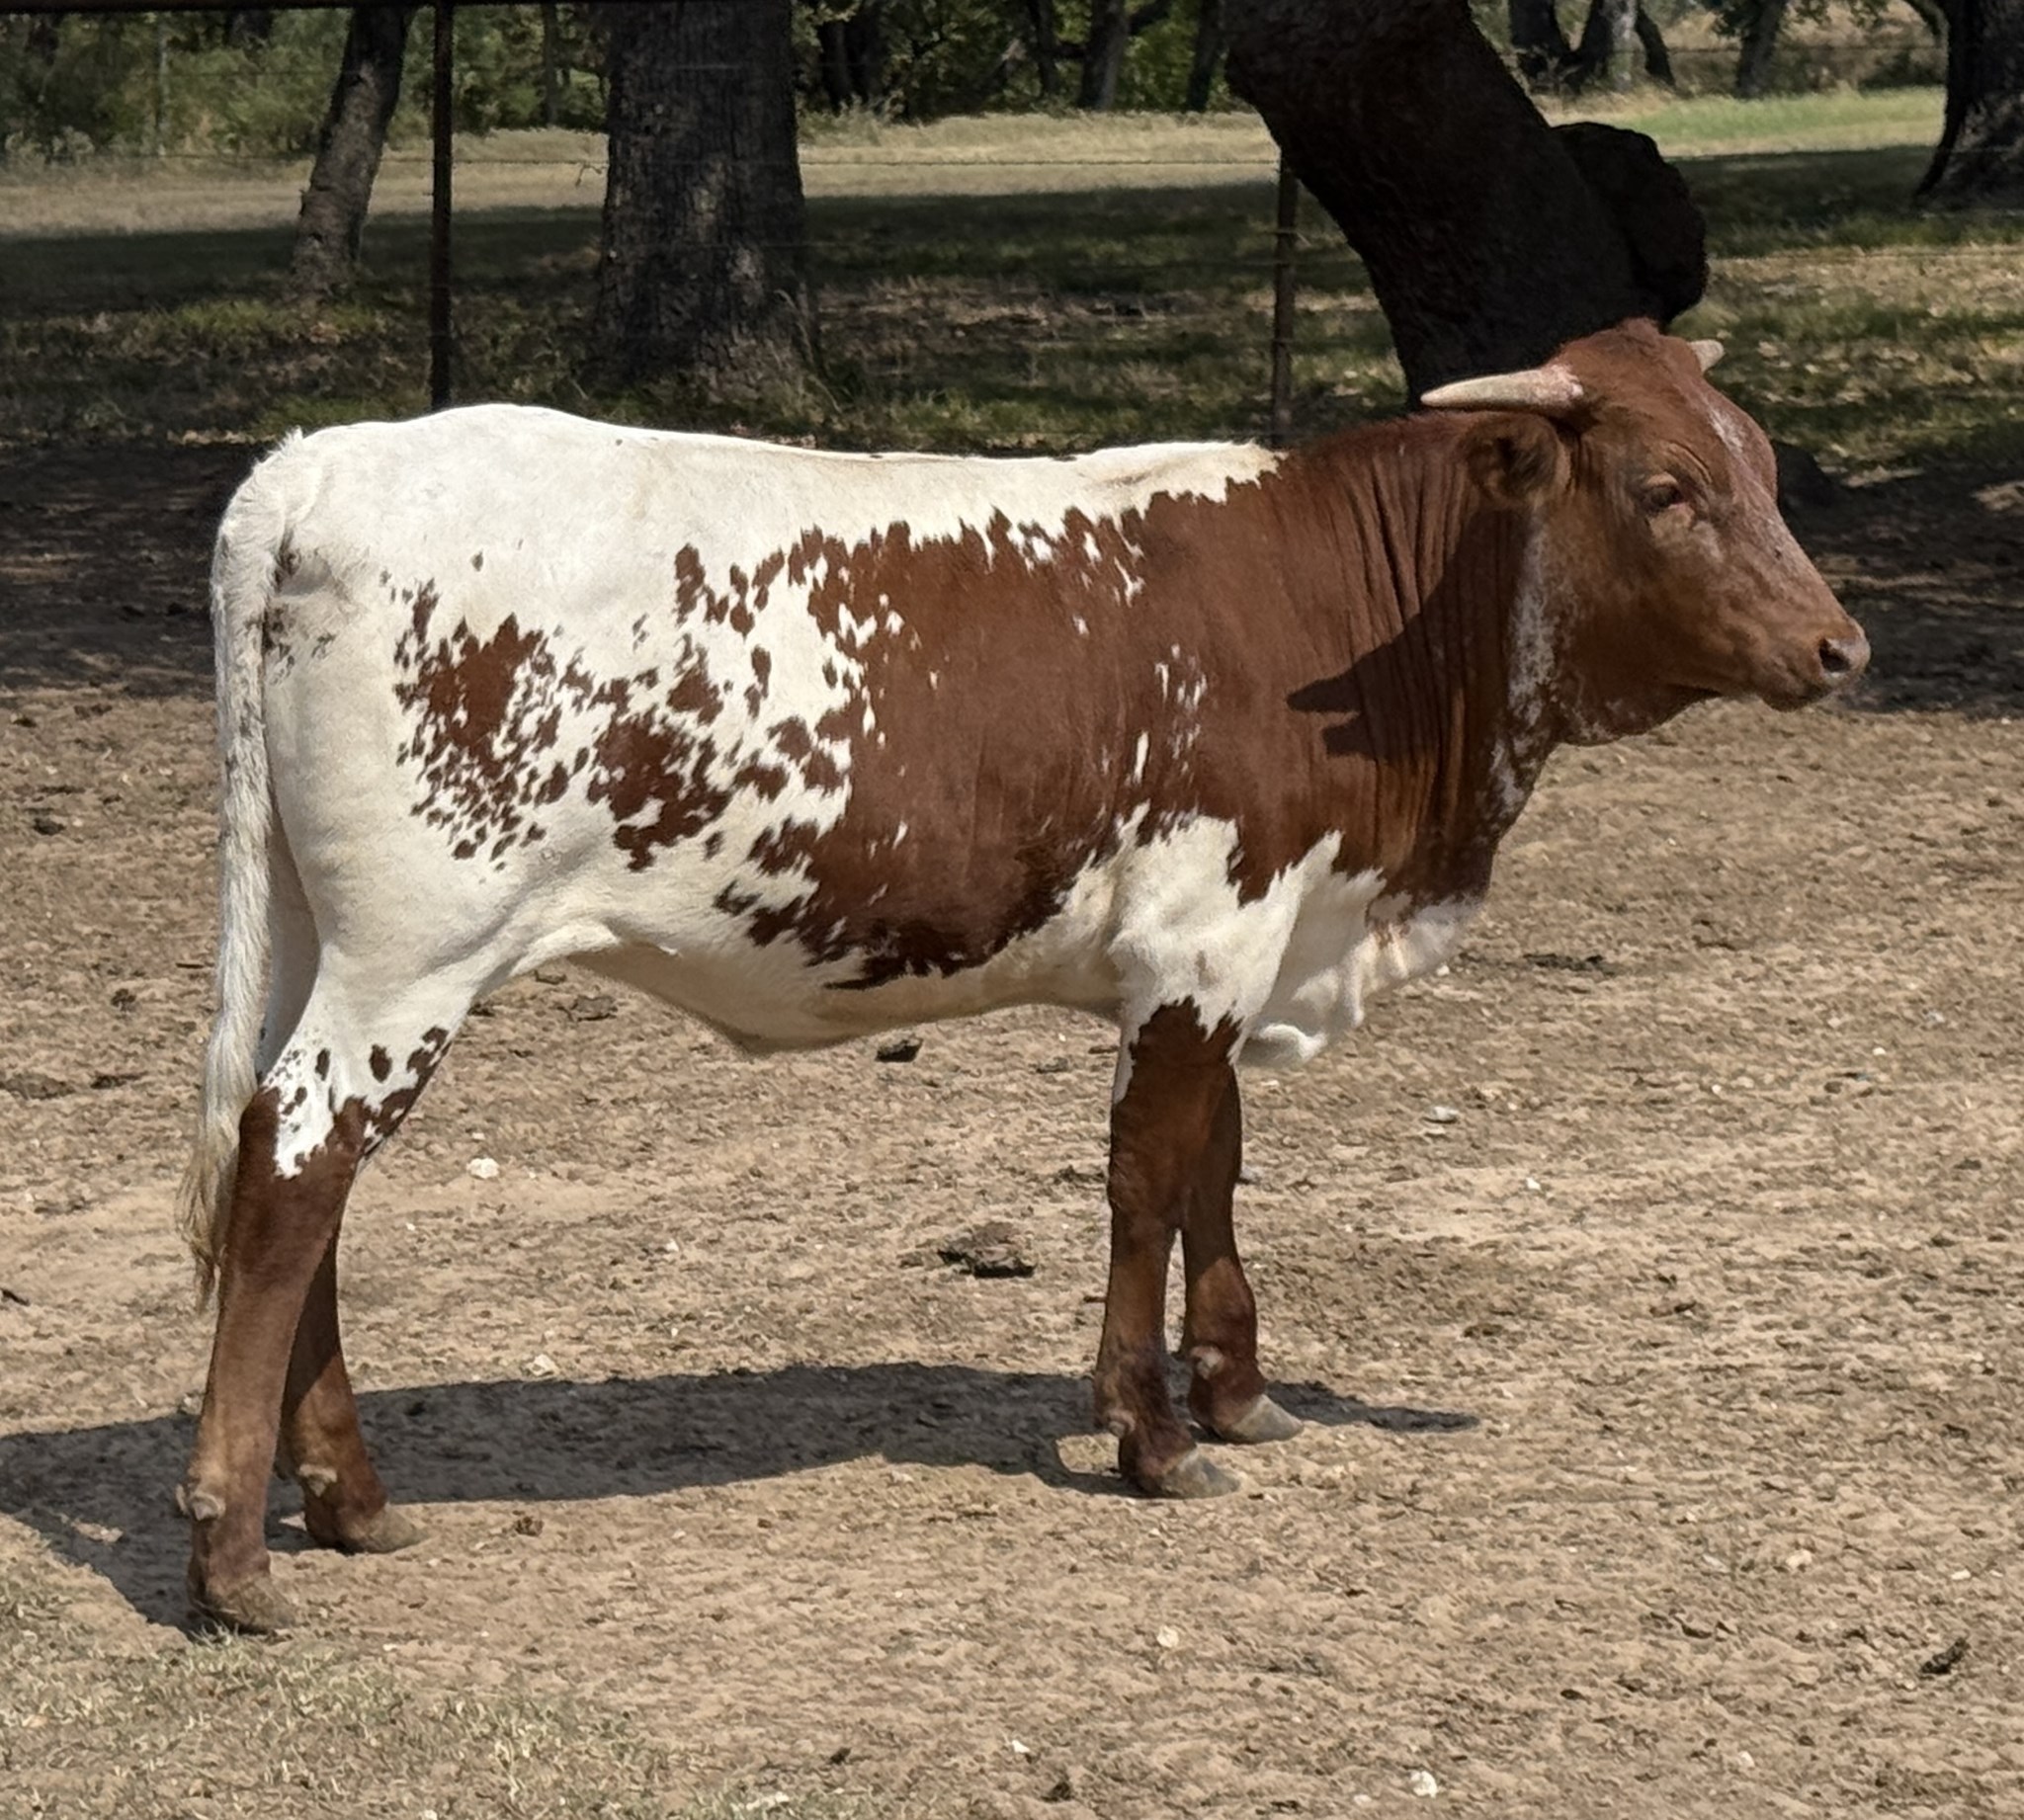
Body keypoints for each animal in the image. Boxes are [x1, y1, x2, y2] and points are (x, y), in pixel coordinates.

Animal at [174, 322, 1867, 1631]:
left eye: (1764, 465)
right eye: (1665, 489)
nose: (1842, 645)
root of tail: (317, 463)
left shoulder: (1235, 948)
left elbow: (1216, 1166)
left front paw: (1238, 1388)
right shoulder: (1202, 936)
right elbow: (1149, 1178)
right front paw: (1152, 1432)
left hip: (327, 935)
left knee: (285, 1167)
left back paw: (348, 1494)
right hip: (417, 947)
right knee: (299, 1165)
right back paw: (237, 1551)